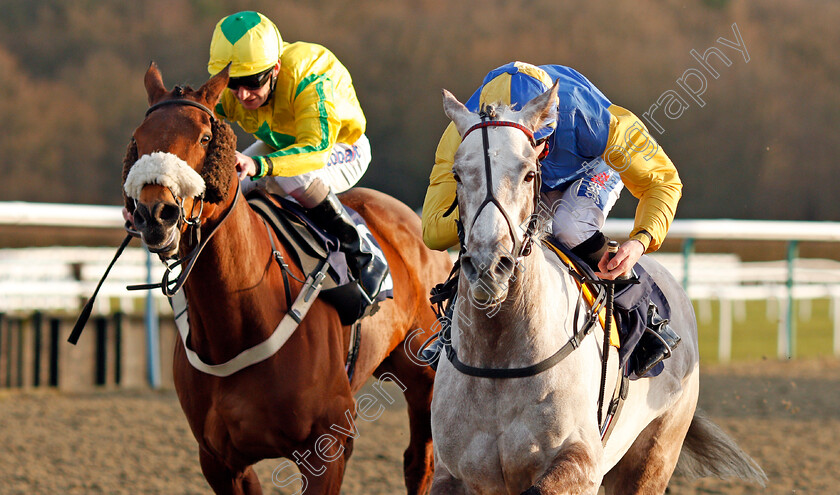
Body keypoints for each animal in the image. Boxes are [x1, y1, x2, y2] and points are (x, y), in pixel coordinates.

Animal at [122, 63, 450, 495]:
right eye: (138, 140)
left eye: (205, 137)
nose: (154, 214)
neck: (239, 323)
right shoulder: (220, 461)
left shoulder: (327, 446)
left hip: (424, 374)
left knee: (421, 462)